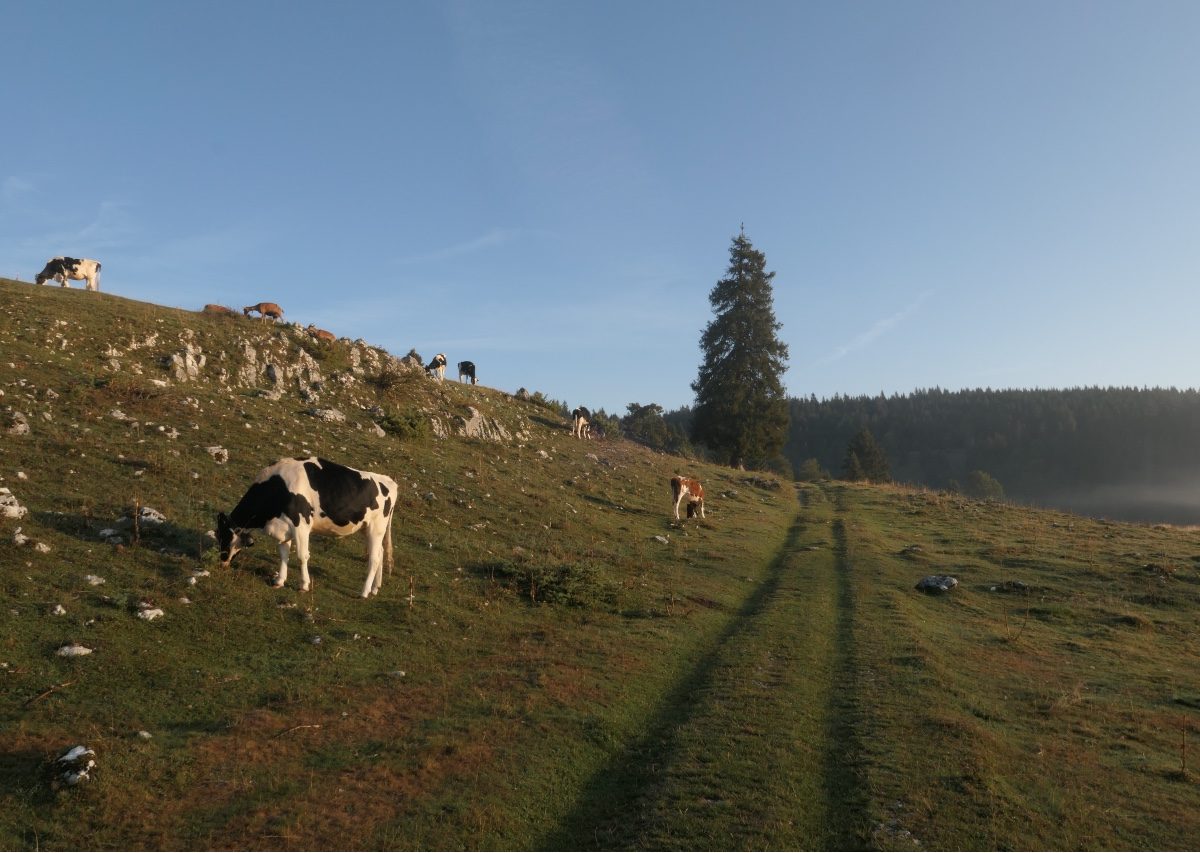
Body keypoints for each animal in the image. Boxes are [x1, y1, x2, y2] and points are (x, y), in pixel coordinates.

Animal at [216, 453, 398, 599]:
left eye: (224, 537)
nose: (222, 562)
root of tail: (389, 480)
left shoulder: (300, 524)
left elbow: (302, 556)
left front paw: (304, 585)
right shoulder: (284, 527)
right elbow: (284, 553)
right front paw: (279, 581)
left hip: (376, 528)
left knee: (374, 558)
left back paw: (364, 592)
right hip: (366, 528)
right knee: (381, 552)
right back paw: (375, 588)